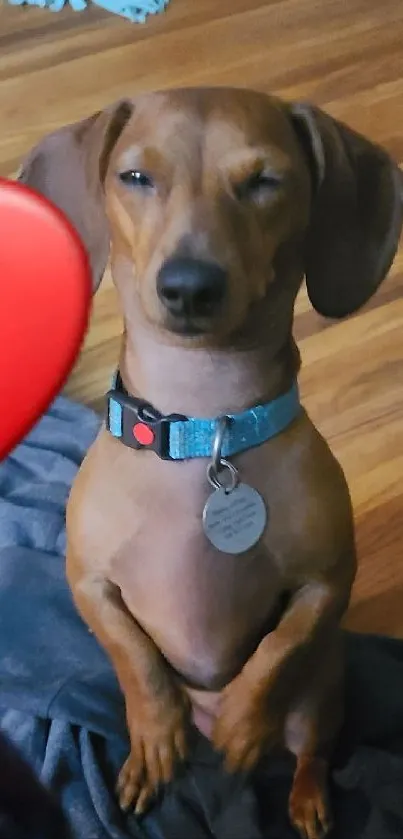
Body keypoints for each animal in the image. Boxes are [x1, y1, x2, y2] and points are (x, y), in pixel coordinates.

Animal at [19, 88, 403, 839]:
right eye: (136, 177)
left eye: (265, 181)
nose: (189, 286)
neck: (202, 433)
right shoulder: (88, 582)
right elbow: (134, 658)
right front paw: (156, 732)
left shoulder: (327, 583)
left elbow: (278, 649)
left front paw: (244, 723)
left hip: (319, 698)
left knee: (311, 749)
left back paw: (304, 797)